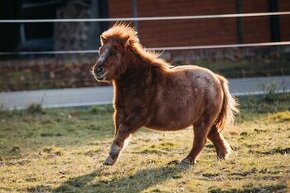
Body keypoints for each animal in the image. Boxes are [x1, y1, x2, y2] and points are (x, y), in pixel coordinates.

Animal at [92, 23, 238, 166]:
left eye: (115, 52)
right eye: (100, 51)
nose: (98, 70)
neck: (138, 81)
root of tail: (217, 78)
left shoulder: (139, 116)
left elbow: (123, 130)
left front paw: (112, 155)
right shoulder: (120, 113)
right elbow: (118, 133)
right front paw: (111, 158)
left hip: (203, 121)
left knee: (201, 141)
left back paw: (187, 160)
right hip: (205, 121)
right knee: (214, 136)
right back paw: (221, 156)